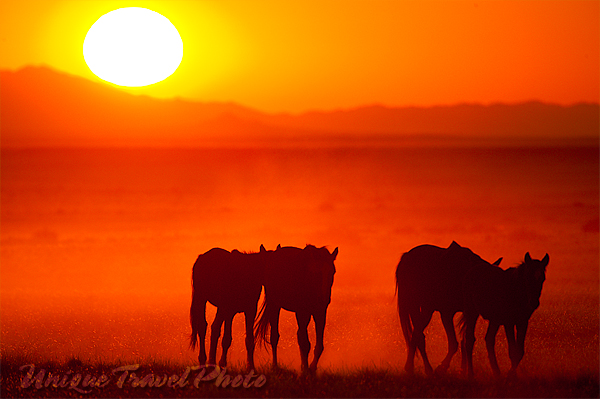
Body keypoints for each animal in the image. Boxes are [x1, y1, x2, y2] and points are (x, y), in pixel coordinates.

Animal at [190, 245, 270, 374]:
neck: (247, 275)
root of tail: (201, 258)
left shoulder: (250, 310)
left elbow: (249, 340)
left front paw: (251, 367)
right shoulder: (229, 311)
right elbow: (226, 339)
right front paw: (223, 364)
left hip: (220, 308)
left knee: (215, 327)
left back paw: (212, 363)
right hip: (202, 298)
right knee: (203, 327)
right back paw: (203, 361)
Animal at [253, 244, 338, 376]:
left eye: (332, 272)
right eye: (318, 273)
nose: (324, 298)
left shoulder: (320, 313)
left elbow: (319, 345)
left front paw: (311, 368)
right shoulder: (301, 312)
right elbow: (305, 343)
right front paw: (307, 370)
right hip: (274, 305)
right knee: (274, 337)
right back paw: (275, 366)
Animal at [394, 242, 502, 376]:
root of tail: (406, 256)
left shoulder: (470, 312)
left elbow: (465, 339)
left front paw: (462, 369)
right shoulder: (447, 313)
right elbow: (454, 343)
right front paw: (442, 367)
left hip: (426, 309)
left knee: (416, 335)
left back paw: (414, 367)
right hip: (414, 305)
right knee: (418, 335)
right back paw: (424, 368)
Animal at [460, 252, 548, 380]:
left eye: (542, 278)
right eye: (527, 277)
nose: (534, 302)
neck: (515, 291)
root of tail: (471, 272)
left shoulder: (523, 322)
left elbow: (519, 351)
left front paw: (512, 374)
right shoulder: (508, 323)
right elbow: (512, 350)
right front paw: (510, 374)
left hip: (494, 320)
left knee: (489, 339)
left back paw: (496, 372)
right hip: (472, 313)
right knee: (470, 339)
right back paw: (471, 373)